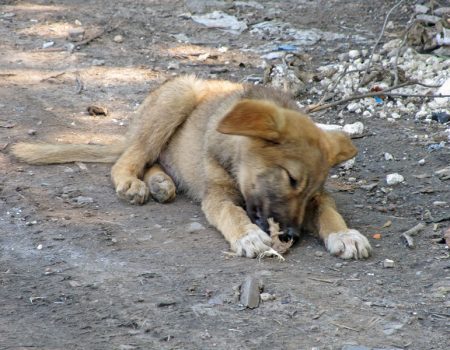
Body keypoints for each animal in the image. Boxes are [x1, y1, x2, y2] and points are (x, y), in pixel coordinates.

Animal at [12, 76, 370, 258]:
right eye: (291, 178)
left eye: (310, 193)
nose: (292, 235)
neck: (235, 158)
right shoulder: (217, 196)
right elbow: (232, 213)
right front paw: (248, 236)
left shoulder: (321, 200)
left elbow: (328, 211)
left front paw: (345, 234)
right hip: (177, 98)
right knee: (130, 158)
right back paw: (132, 182)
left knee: (151, 159)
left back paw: (161, 183)